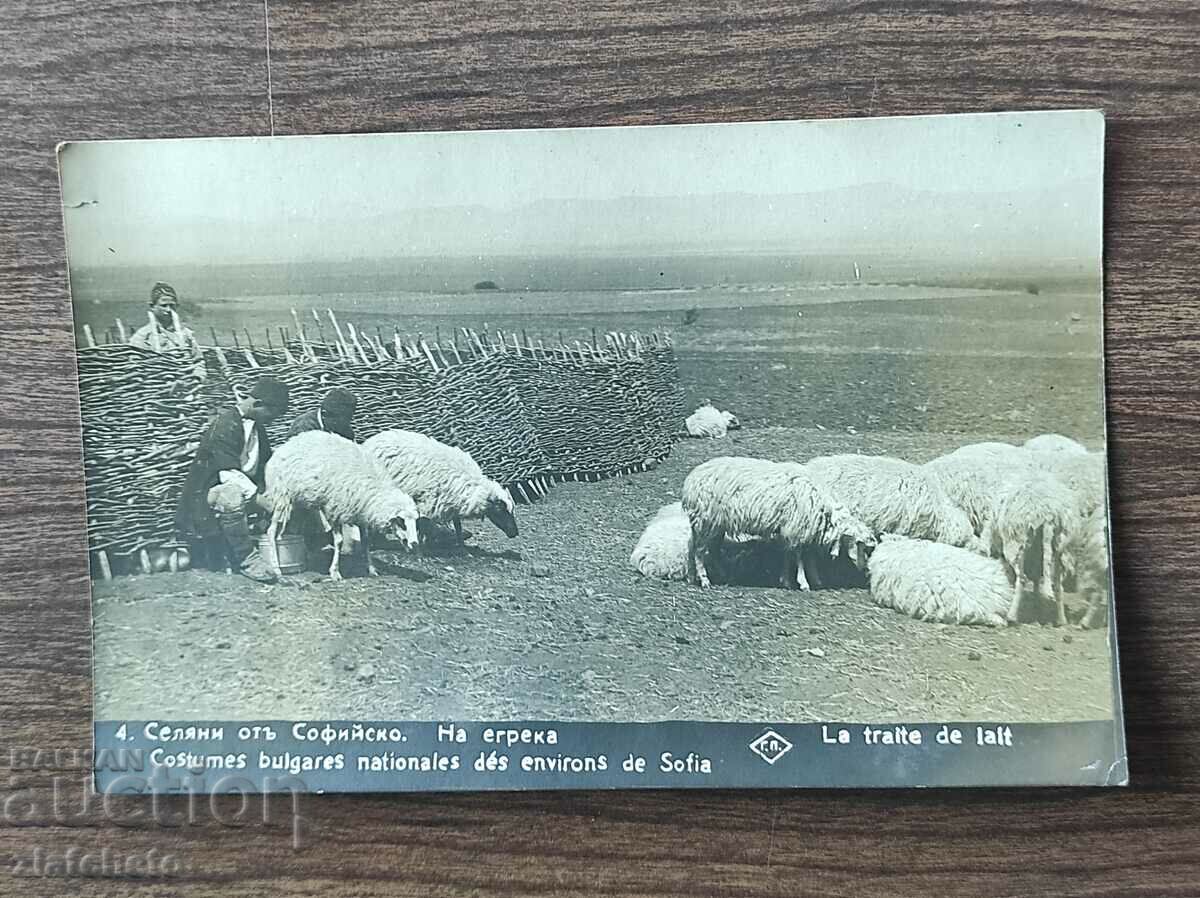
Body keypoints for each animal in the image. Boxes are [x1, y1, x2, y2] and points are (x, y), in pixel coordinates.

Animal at [264, 429, 422, 583]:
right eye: (402, 522)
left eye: (415, 521)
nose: (415, 545)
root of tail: (284, 446)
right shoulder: (335, 510)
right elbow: (339, 541)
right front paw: (335, 572)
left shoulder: (361, 512)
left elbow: (366, 541)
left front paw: (371, 569)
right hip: (282, 496)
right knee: (271, 531)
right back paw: (276, 568)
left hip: (298, 502)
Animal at [362, 429, 518, 547]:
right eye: (500, 510)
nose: (515, 533)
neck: (472, 487)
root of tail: (369, 442)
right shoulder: (430, 503)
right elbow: (425, 525)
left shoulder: (452, 504)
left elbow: (457, 525)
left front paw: (461, 546)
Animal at [686, 456, 873, 588]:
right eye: (861, 546)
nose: (865, 570)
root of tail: (691, 479)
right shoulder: (797, 529)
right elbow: (799, 557)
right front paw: (803, 582)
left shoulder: (795, 529)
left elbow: (794, 555)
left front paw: (794, 580)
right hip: (705, 521)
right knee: (699, 552)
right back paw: (704, 580)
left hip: (716, 524)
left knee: (708, 549)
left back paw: (713, 575)